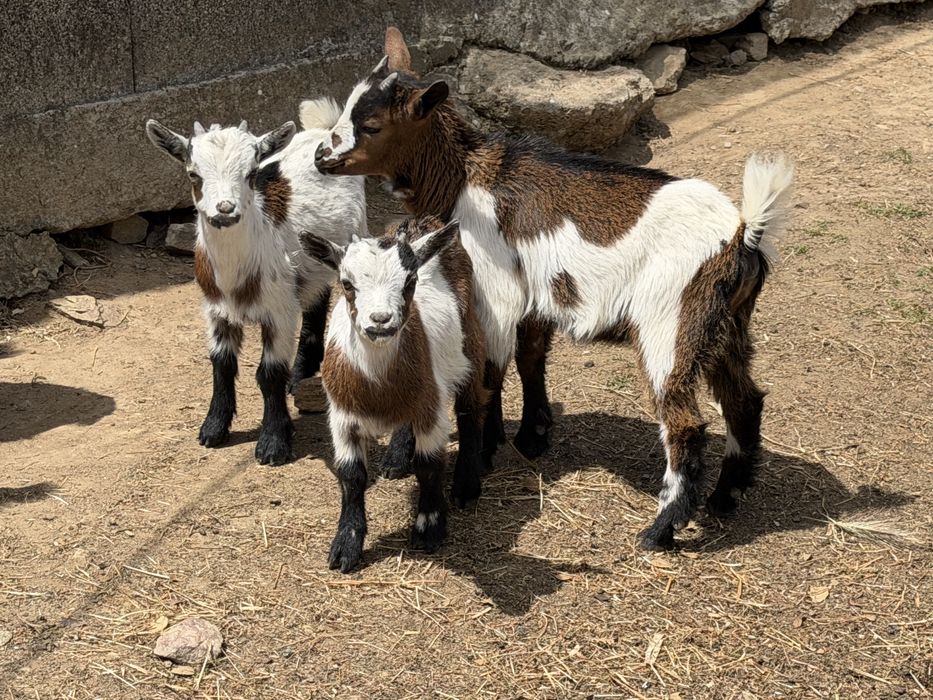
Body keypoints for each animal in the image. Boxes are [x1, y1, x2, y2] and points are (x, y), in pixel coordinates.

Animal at [145, 100, 367, 466]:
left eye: (250, 174)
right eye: (194, 175)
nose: (224, 209)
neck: (235, 278)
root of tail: (324, 129)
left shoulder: (278, 312)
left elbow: (269, 373)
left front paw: (274, 443)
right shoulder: (215, 311)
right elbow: (221, 364)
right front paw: (213, 428)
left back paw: (299, 374)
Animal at [301, 217, 487, 572]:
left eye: (410, 281)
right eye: (346, 283)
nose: (381, 321)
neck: (378, 385)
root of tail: (422, 223)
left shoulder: (431, 407)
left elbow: (429, 465)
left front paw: (429, 528)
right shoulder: (341, 416)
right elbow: (351, 475)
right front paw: (346, 545)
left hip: (470, 343)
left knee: (472, 411)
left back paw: (466, 486)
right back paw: (397, 458)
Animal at [313, 27, 793, 550]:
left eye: (372, 125)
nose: (321, 156)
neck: (464, 179)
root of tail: (743, 234)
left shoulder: (495, 290)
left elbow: (487, 371)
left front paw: (478, 462)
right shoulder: (534, 297)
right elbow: (530, 358)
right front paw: (531, 436)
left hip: (672, 322)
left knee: (685, 421)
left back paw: (660, 529)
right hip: (725, 326)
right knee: (744, 400)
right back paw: (726, 497)